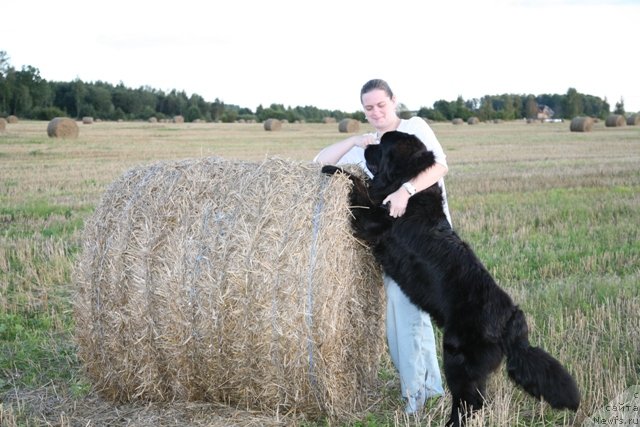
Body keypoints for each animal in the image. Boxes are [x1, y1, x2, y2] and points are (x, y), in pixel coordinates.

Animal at [322, 132, 576, 426]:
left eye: (382, 145)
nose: (367, 146)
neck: (410, 188)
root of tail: (510, 320)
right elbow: (363, 186)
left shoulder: (374, 220)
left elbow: (356, 188)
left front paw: (331, 169)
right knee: (478, 401)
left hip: (458, 358)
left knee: (469, 400)